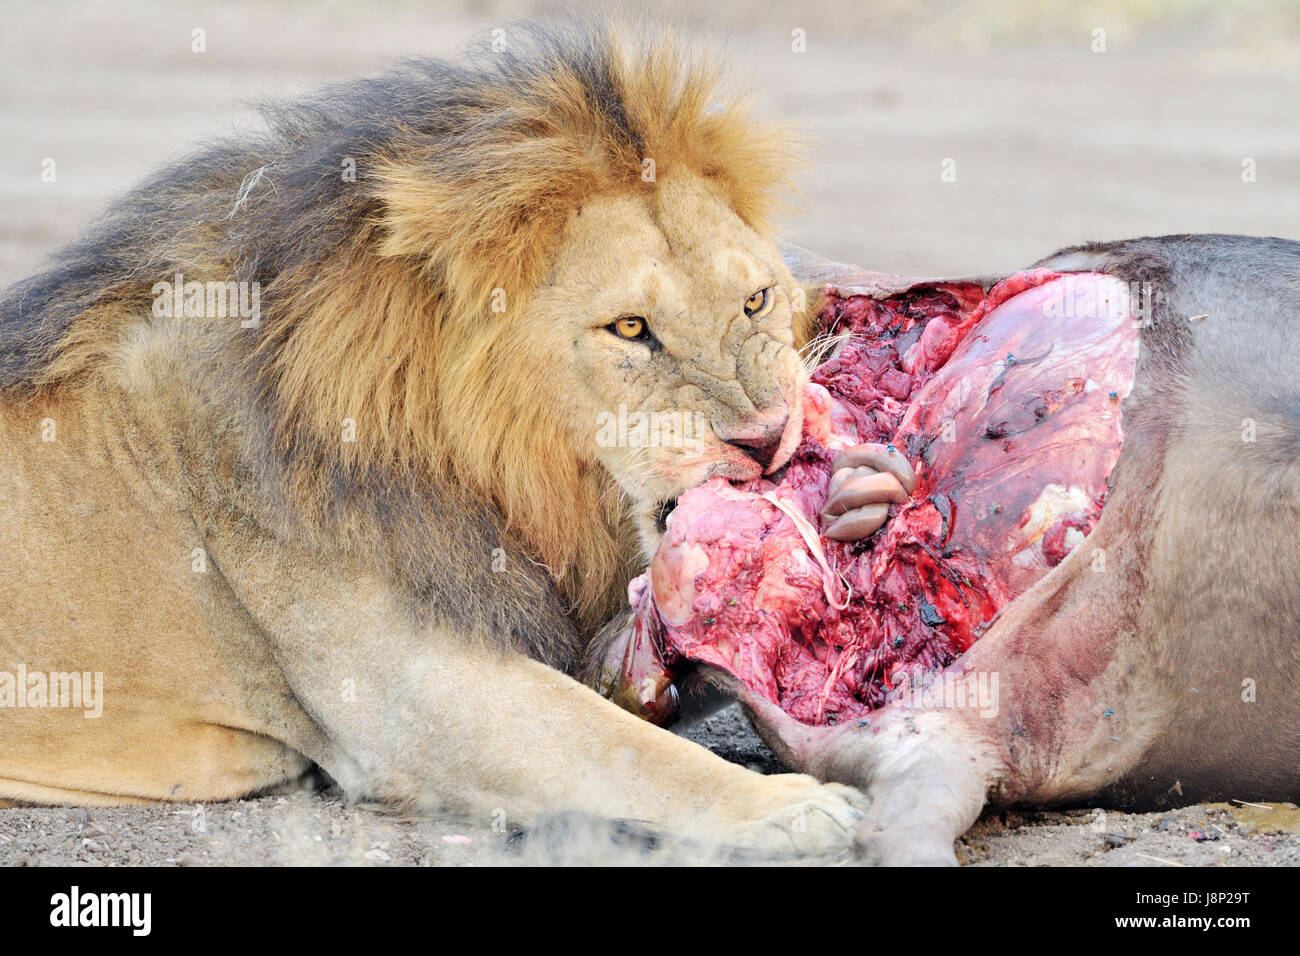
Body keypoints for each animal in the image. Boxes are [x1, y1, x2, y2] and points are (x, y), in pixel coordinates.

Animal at [0, 20, 883, 853]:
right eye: (631, 329)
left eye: (755, 301)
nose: (769, 438)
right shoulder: (412, 697)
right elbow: (622, 749)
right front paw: (792, 807)